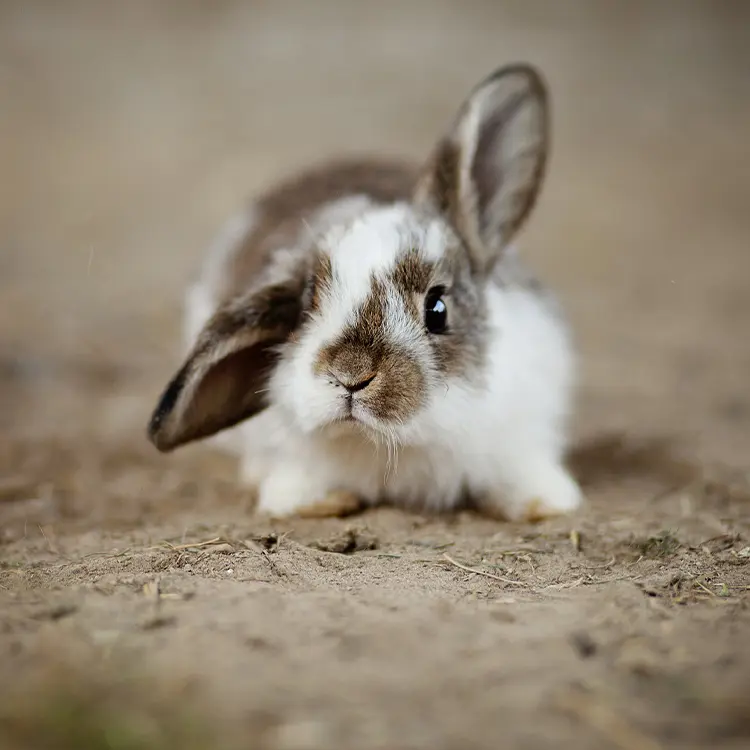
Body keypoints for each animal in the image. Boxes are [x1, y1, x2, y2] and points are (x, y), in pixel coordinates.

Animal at [148, 64, 588, 524]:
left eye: (438, 309)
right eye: (305, 308)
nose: (350, 375)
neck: (396, 443)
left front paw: (545, 503)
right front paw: (317, 501)